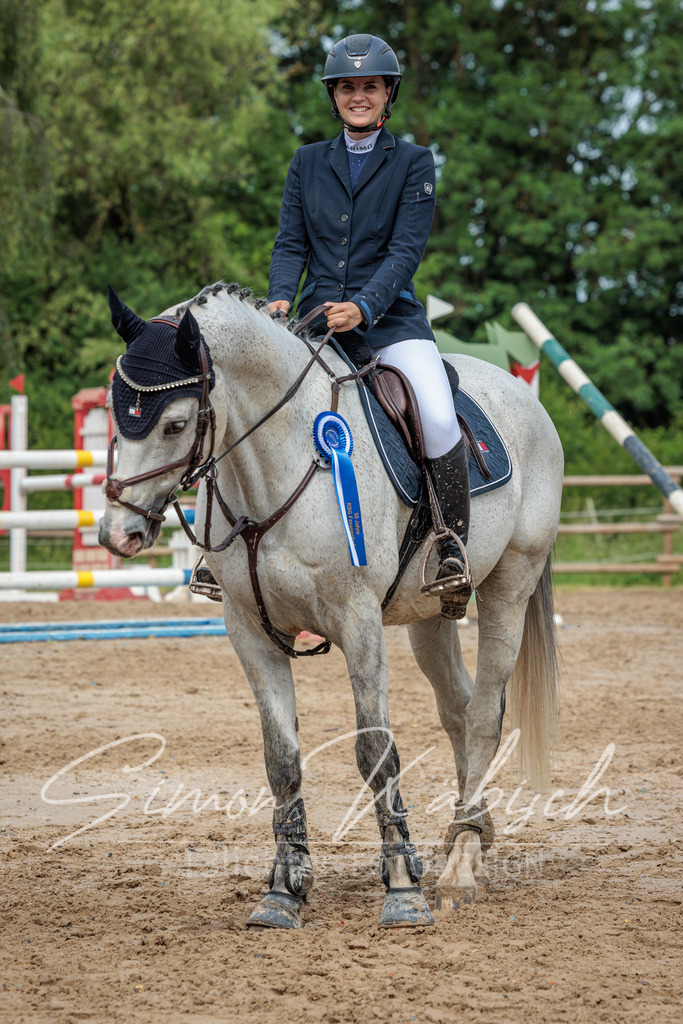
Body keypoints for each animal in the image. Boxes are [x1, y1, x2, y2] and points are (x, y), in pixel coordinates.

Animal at [99, 281, 563, 930]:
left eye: (174, 424)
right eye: (115, 413)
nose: (117, 536)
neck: (279, 462)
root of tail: (523, 394)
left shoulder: (358, 621)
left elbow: (375, 749)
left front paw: (402, 889)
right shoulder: (249, 630)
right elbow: (282, 759)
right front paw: (284, 890)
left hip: (510, 587)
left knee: (483, 715)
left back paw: (459, 869)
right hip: (428, 615)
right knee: (459, 708)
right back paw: (470, 831)